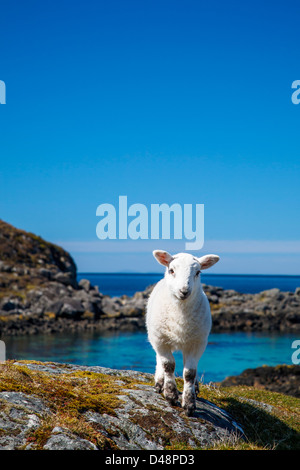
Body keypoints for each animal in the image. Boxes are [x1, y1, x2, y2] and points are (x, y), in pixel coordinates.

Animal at [146, 250, 219, 414]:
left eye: (198, 272)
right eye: (171, 270)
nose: (184, 291)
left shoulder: (197, 343)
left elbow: (189, 373)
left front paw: (189, 403)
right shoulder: (160, 339)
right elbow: (168, 365)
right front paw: (170, 395)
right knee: (159, 359)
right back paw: (159, 382)